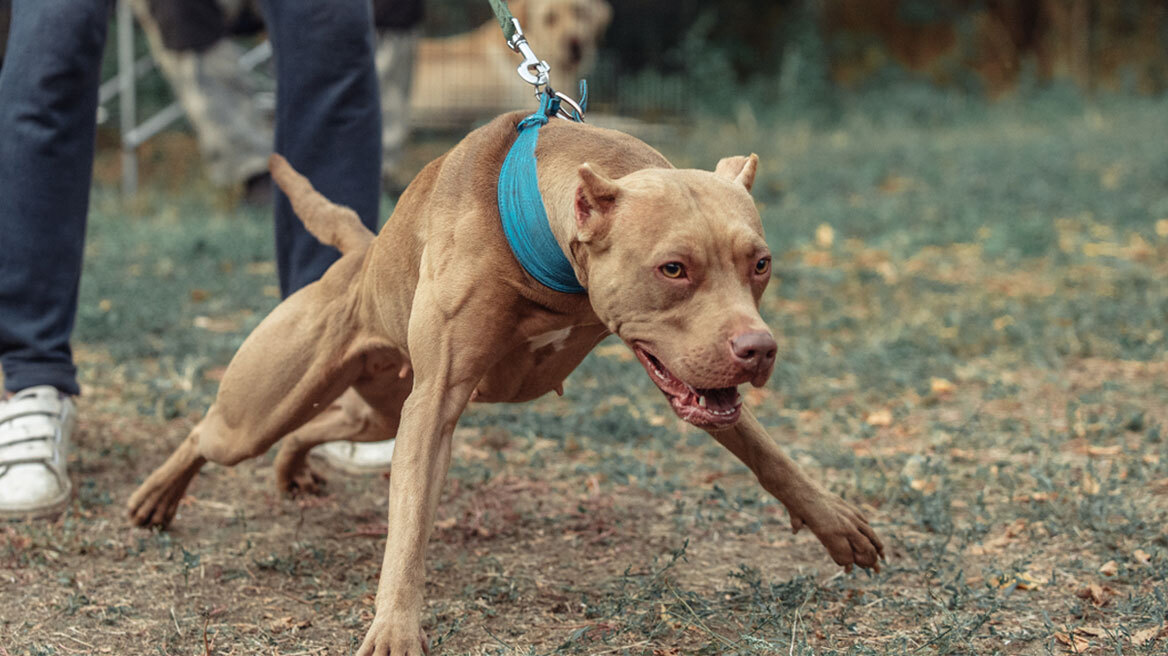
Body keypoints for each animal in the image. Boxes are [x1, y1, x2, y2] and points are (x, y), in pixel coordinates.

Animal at [127, 109, 878, 648]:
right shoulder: (432, 408)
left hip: (377, 405)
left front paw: (831, 520)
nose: (759, 349)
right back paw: (157, 497)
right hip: (263, 410)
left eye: (761, 264)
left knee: (322, 424)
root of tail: (364, 254)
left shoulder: (697, 374)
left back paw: (290, 467)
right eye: (674, 268)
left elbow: (765, 451)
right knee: (209, 433)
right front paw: (394, 629)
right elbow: (409, 527)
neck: (541, 242)